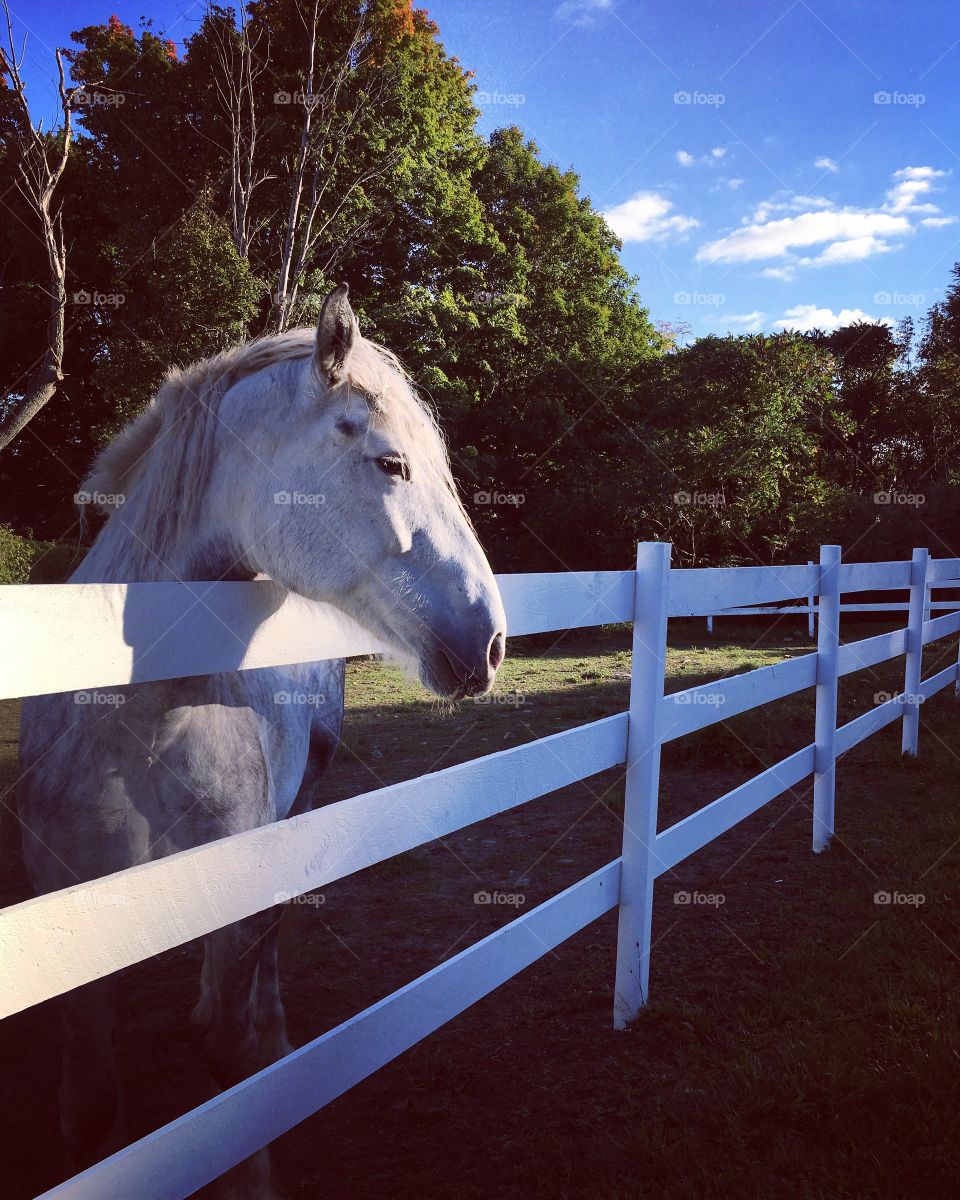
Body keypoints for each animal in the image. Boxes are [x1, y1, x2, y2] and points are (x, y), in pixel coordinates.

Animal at [18, 285, 506, 1195]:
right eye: (392, 463)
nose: (491, 641)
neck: (142, 730)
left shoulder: (235, 895)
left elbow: (232, 1073)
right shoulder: (71, 920)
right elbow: (91, 1106)